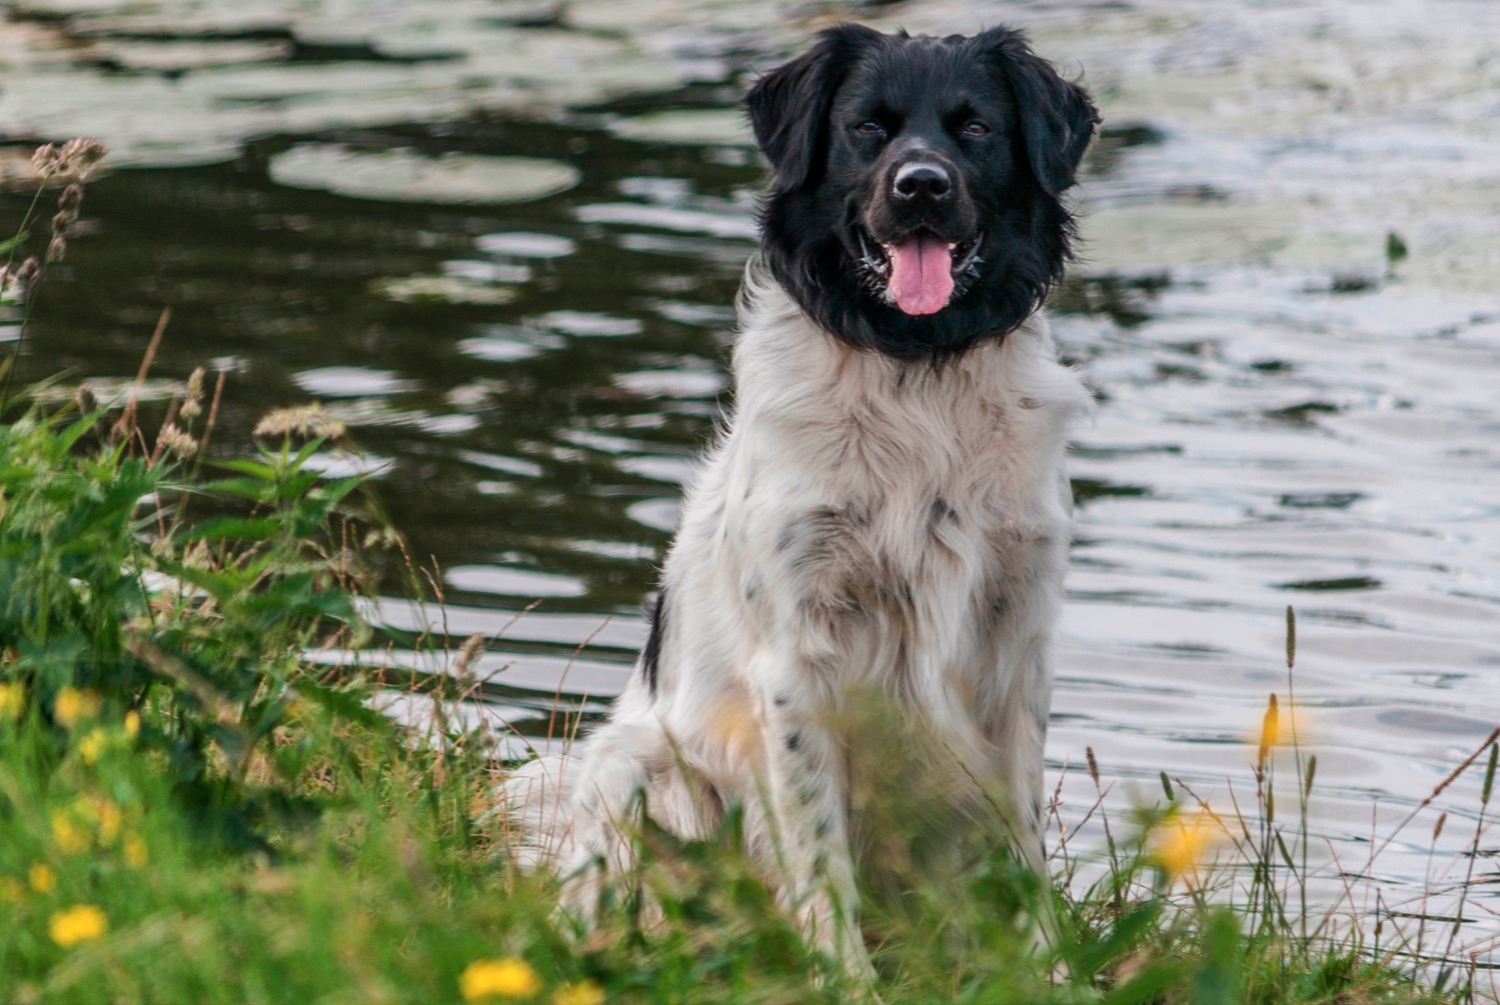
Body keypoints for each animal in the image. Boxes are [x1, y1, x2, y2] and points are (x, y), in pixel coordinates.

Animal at [498, 21, 1098, 966]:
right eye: (866, 128)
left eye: (975, 129)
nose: (920, 184)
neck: (915, 371)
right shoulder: (796, 659)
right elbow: (819, 857)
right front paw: (845, 975)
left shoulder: (1017, 640)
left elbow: (1023, 837)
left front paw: (1045, 970)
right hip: (631, 764)